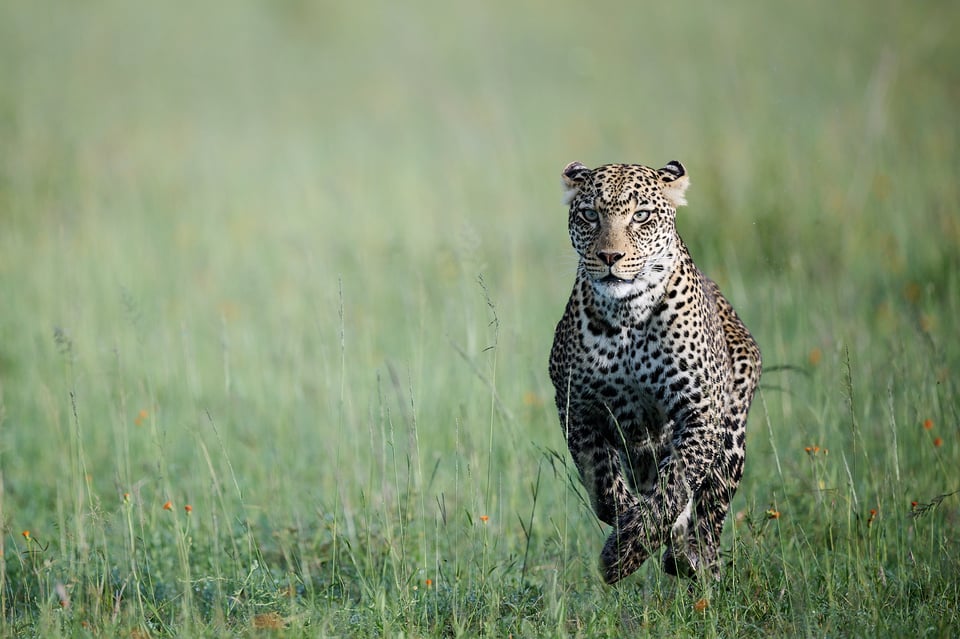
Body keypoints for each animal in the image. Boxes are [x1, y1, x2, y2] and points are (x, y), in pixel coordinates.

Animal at [552, 159, 760, 584]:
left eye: (641, 216)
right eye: (590, 215)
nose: (610, 256)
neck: (626, 314)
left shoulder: (699, 412)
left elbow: (674, 487)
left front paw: (624, 553)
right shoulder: (577, 409)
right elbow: (604, 489)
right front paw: (625, 537)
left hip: (731, 437)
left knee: (711, 505)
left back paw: (695, 558)